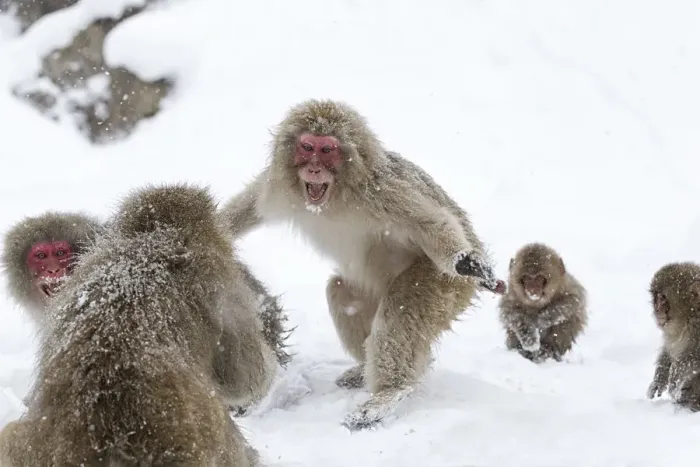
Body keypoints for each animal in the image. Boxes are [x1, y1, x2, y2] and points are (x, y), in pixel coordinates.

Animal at [0, 184, 275, 466]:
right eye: (41, 256)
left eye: (60, 253)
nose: (53, 270)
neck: (154, 239)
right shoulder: (223, 285)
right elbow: (247, 378)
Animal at [220, 99, 506, 431]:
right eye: (307, 147)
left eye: (327, 150)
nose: (314, 167)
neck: (333, 200)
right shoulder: (278, 188)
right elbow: (248, 207)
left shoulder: (383, 191)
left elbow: (431, 224)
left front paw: (468, 262)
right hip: (373, 289)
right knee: (342, 293)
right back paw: (366, 370)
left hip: (443, 283)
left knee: (402, 309)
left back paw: (389, 393)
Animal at [647, 262, 700, 412]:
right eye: (656, 297)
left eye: (663, 298)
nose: (657, 310)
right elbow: (669, 349)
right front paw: (659, 379)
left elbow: (692, 359)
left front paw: (676, 375)